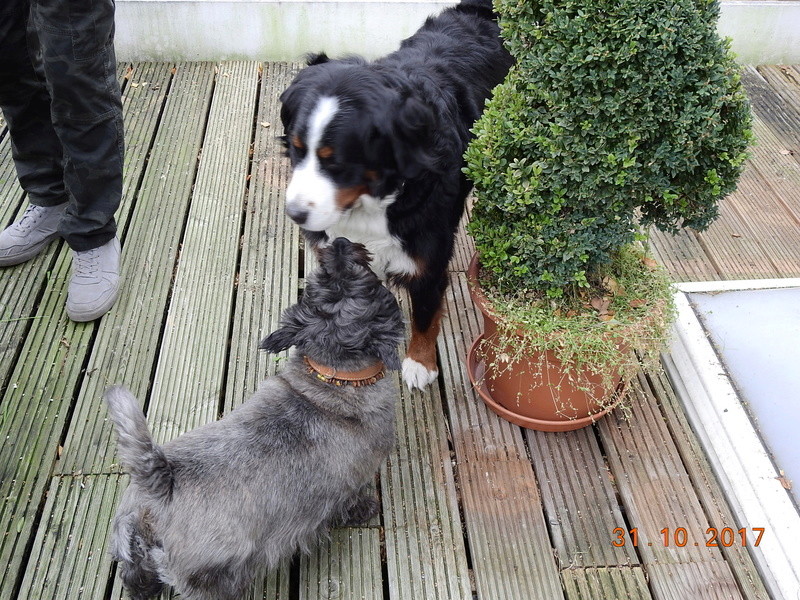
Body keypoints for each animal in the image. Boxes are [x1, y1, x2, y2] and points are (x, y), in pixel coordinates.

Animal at [105, 237, 404, 596]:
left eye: (319, 279)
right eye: (367, 280)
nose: (341, 244)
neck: (332, 379)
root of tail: (162, 484)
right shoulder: (350, 483)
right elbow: (350, 502)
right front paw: (365, 510)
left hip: (132, 548)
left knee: (134, 574)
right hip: (216, 577)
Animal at [278, 0, 510, 390]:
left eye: (337, 162)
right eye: (296, 149)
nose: (295, 214)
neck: (371, 203)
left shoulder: (427, 257)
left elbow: (425, 315)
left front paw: (419, 363)